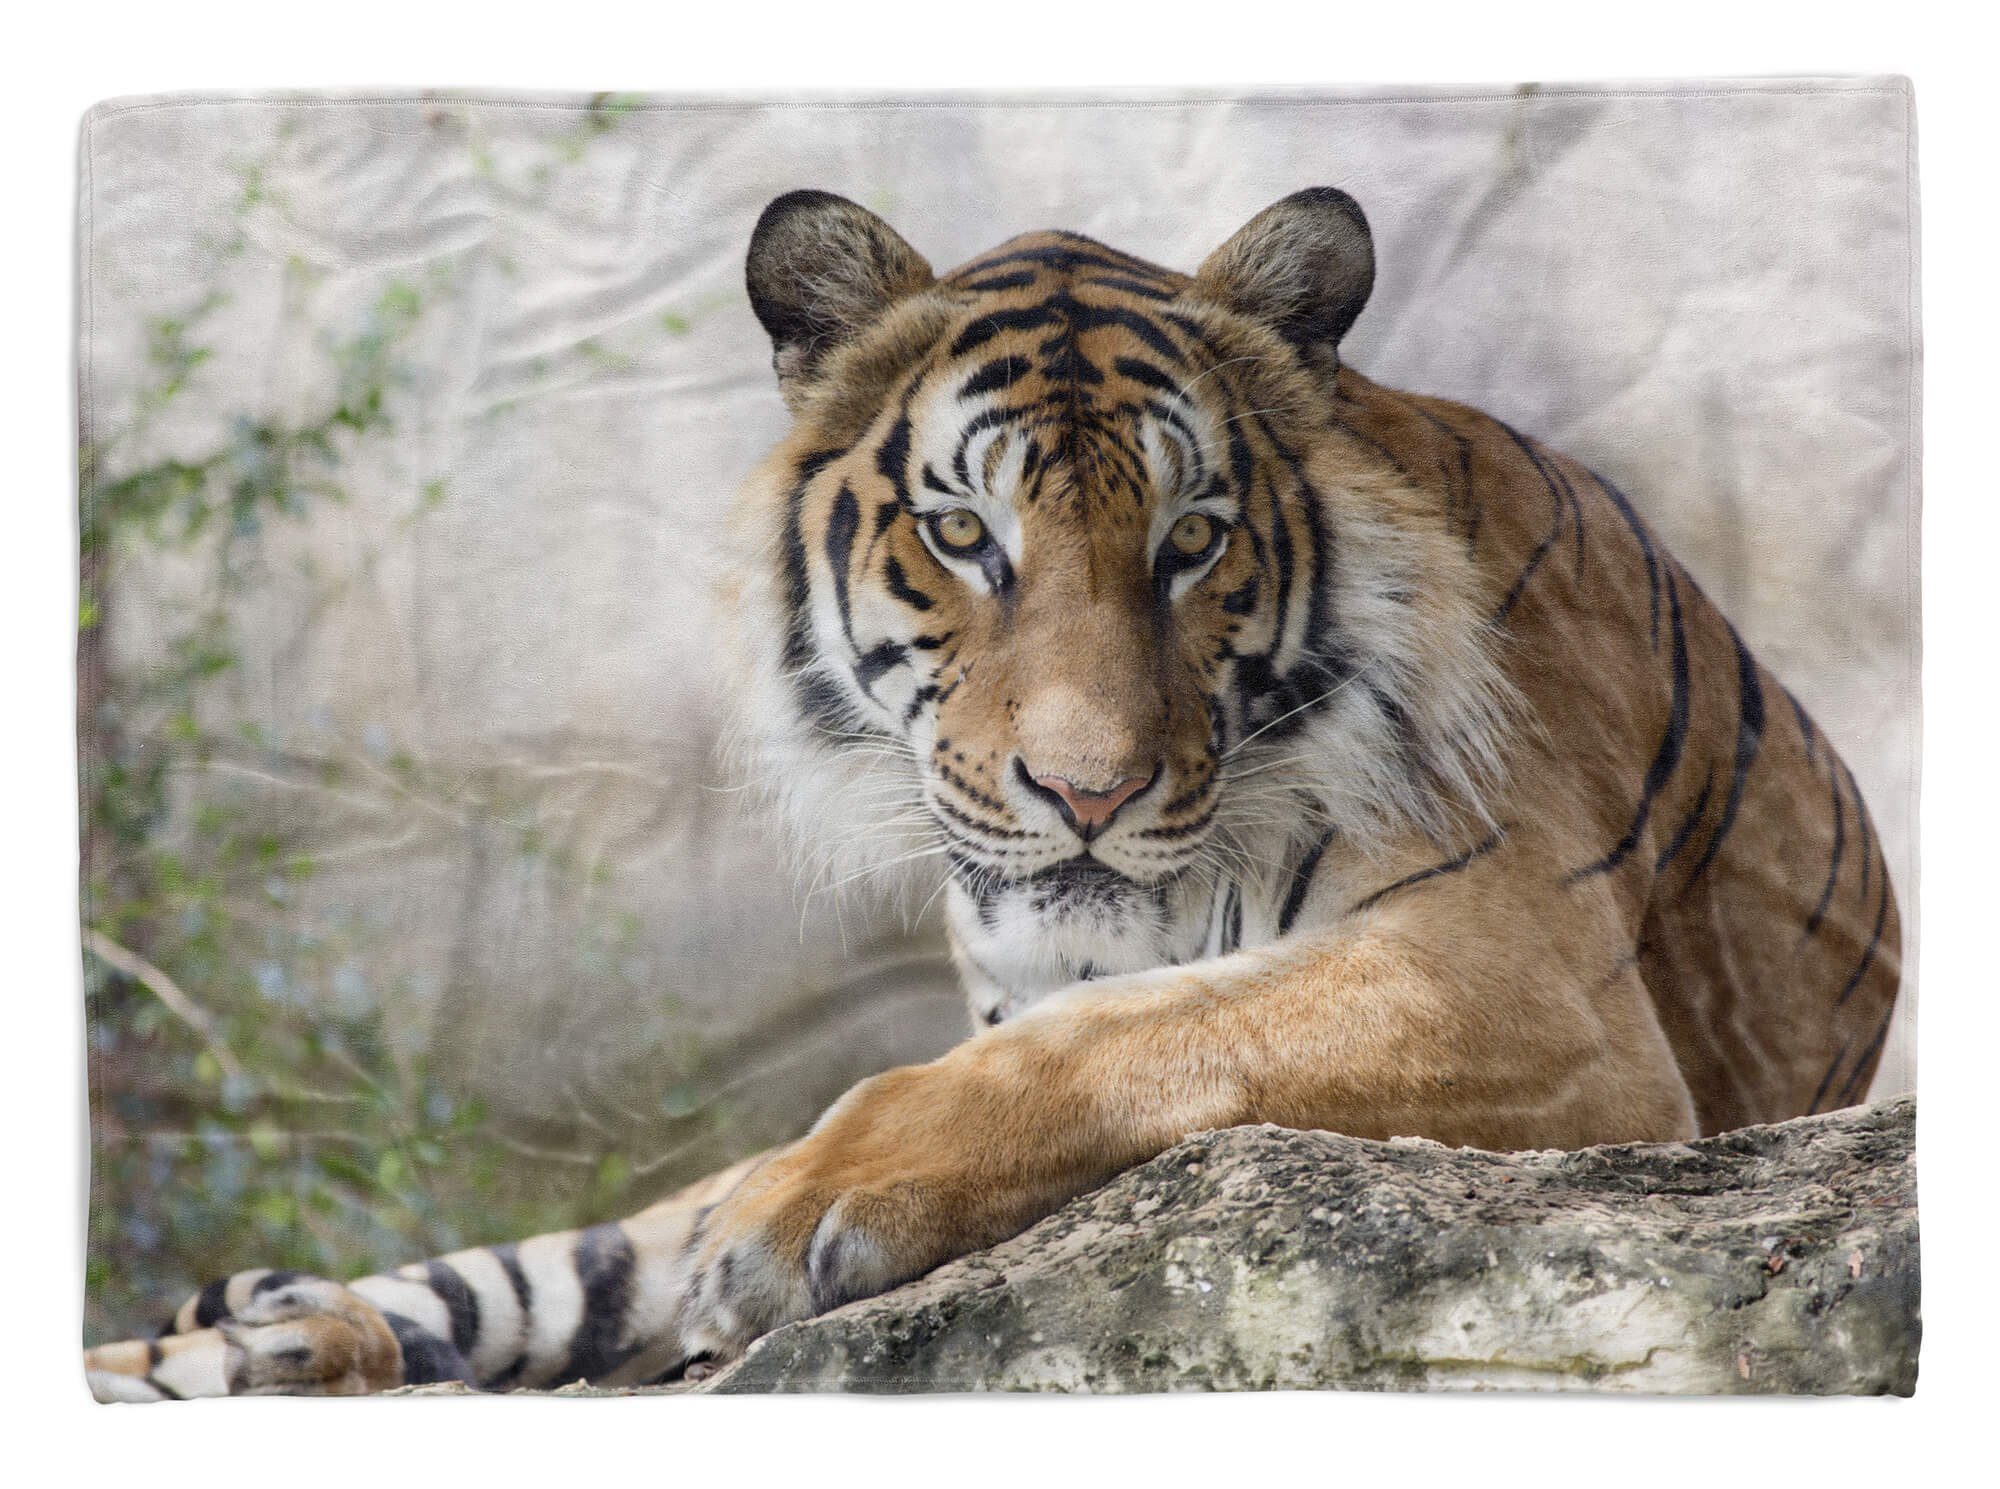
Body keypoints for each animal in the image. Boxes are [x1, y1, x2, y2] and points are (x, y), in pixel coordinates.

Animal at [85, 187, 1901, 1399]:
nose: (1086, 788)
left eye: (1193, 540)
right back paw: (255, 1346)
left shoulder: (1526, 975)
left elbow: (1125, 1031)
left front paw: (811, 1209)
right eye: (965, 534)